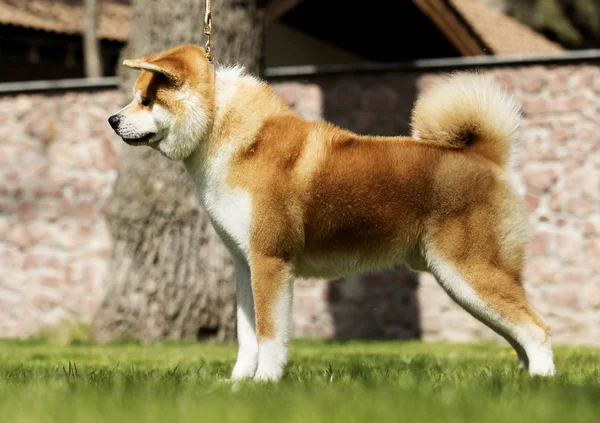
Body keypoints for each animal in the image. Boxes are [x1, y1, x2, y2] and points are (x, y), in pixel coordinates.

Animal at [108, 44, 552, 382]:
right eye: (135, 96)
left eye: (146, 99)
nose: (112, 120)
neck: (226, 135)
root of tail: (485, 157)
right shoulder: (244, 263)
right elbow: (247, 337)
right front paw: (236, 385)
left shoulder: (270, 260)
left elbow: (270, 335)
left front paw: (264, 384)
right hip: (465, 282)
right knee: (520, 336)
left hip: (469, 273)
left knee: (538, 330)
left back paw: (540, 387)